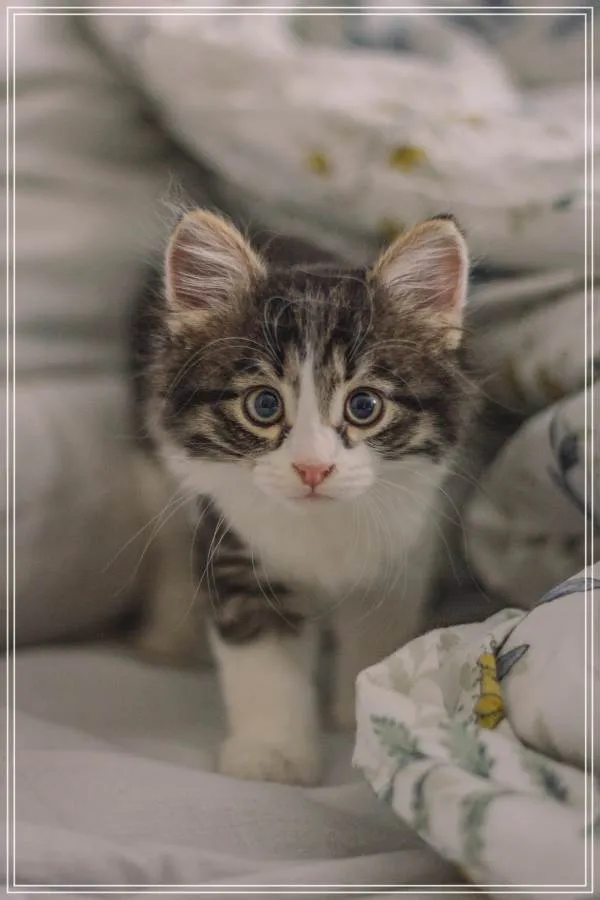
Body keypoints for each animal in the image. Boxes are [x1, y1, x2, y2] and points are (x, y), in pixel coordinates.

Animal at [130, 209, 476, 786]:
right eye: (264, 405)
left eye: (364, 406)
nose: (313, 467)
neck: (322, 530)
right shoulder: (236, 549)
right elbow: (265, 665)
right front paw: (273, 754)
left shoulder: (405, 548)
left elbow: (378, 634)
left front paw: (363, 714)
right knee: (174, 544)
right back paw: (168, 637)